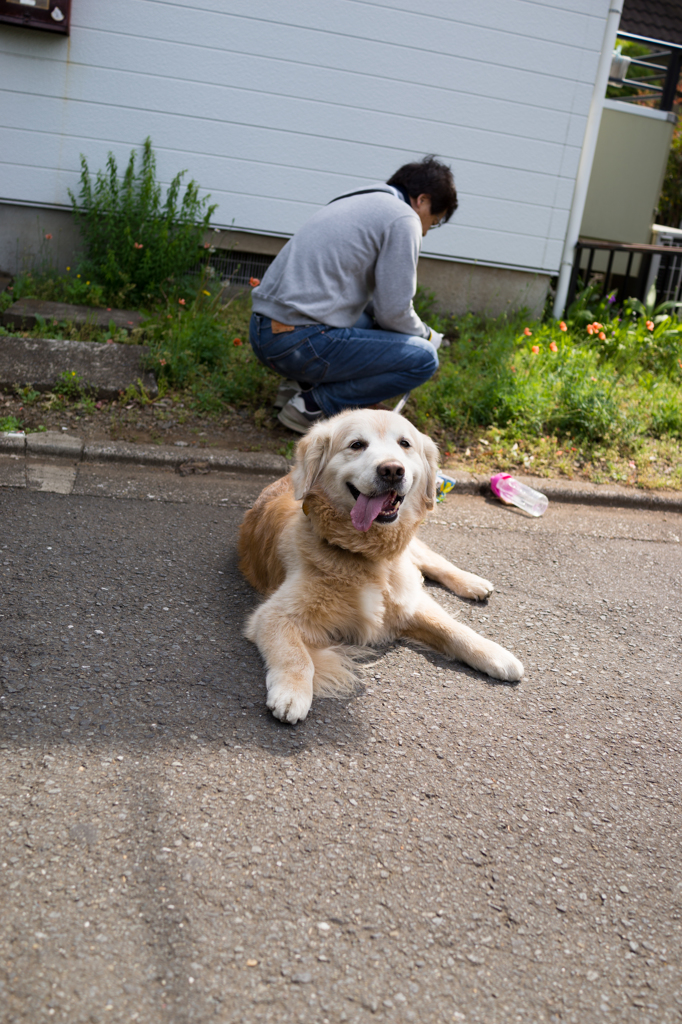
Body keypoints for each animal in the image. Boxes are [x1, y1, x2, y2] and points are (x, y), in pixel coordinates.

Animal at [236, 403, 522, 724]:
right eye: (356, 445)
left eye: (405, 444)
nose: (392, 470)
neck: (366, 554)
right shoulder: (273, 615)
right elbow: (296, 656)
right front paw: (292, 693)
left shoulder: (408, 603)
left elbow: (453, 628)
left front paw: (495, 654)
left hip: (414, 552)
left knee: (435, 562)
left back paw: (473, 583)